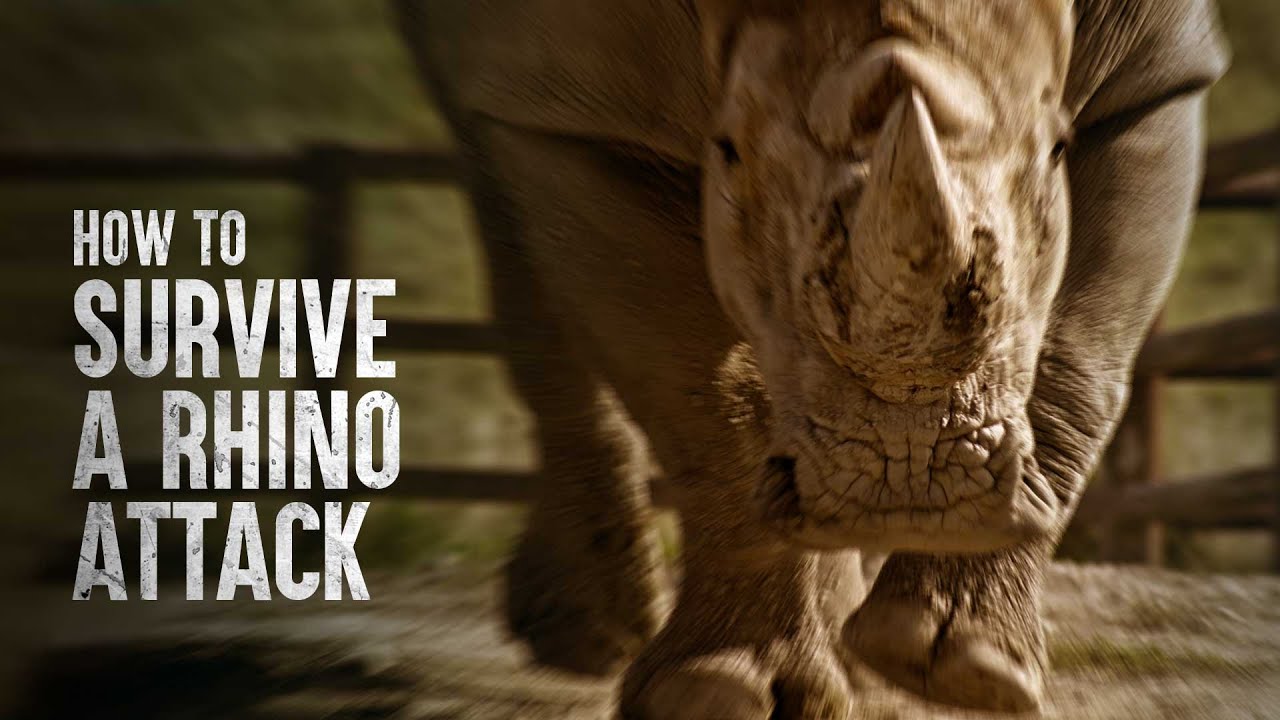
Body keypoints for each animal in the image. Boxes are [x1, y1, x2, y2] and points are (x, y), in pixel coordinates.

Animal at [396, 1, 1227, 717]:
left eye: (1058, 149)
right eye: (727, 150)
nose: (911, 489)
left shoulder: (1159, 72)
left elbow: (1080, 356)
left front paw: (969, 670)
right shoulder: (564, 107)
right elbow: (692, 392)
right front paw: (714, 694)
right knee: (490, 177)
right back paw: (591, 638)